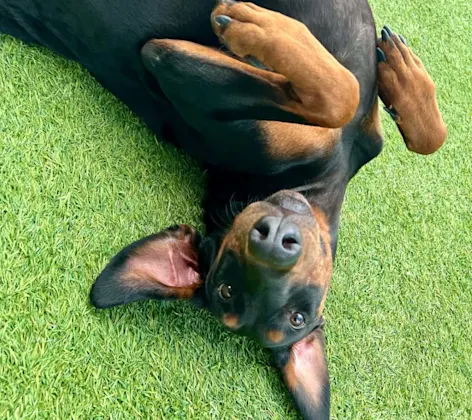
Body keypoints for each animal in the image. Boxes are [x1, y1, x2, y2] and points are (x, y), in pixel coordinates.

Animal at [0, 0, 446, 416]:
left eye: (296, 318)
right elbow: (365, 104)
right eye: (227, 288)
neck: (318, 181)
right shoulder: (166, 58)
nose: (273, 242)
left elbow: (374, 110)